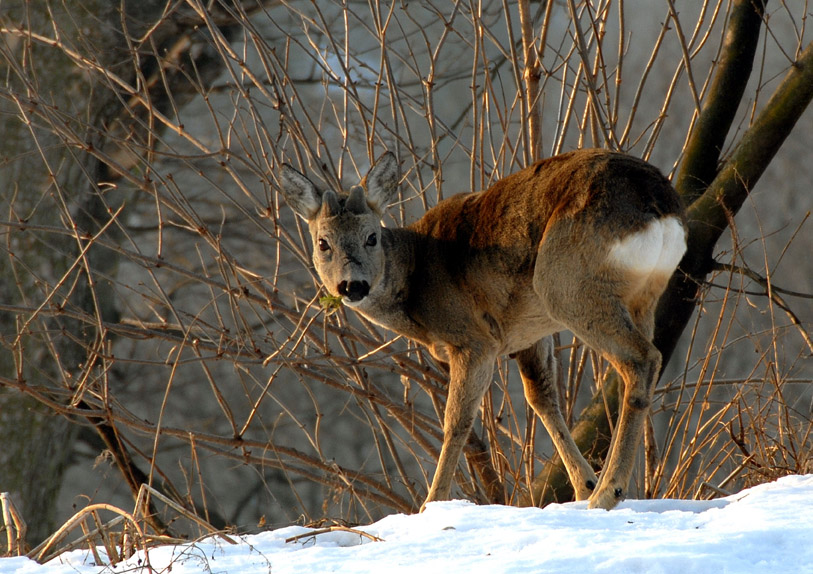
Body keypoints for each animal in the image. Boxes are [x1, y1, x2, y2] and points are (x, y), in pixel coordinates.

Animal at [280, 150, 684, 512]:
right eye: (323, 243)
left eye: (371, 237)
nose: (352, 285)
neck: (417, 284)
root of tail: (657, 202)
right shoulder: (528, 335)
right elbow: (542, 399)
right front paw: (582, 484)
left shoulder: (473, 339)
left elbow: (456, 421)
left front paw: (431, 503)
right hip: (642, 295)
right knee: (646, 357)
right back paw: (601, 490)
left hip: (565, 283)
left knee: (641, 358)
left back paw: (608, 491)